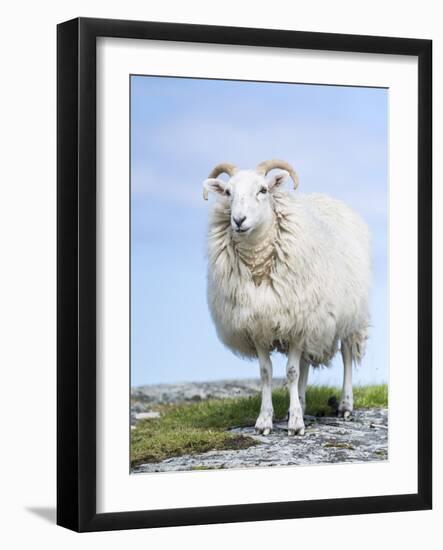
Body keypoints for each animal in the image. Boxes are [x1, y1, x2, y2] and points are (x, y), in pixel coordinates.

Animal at [204, 160, 372, 436]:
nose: (238, 220)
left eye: (263, 189)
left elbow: (291, 372)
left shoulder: (296, 324)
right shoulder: (259, 326)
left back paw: (345, 405)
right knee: (305, 364)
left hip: (349, 318)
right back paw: (301, 402)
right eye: (228, 192)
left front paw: (295, 423)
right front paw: (265, 420)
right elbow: (266, 373)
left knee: (346, 356)